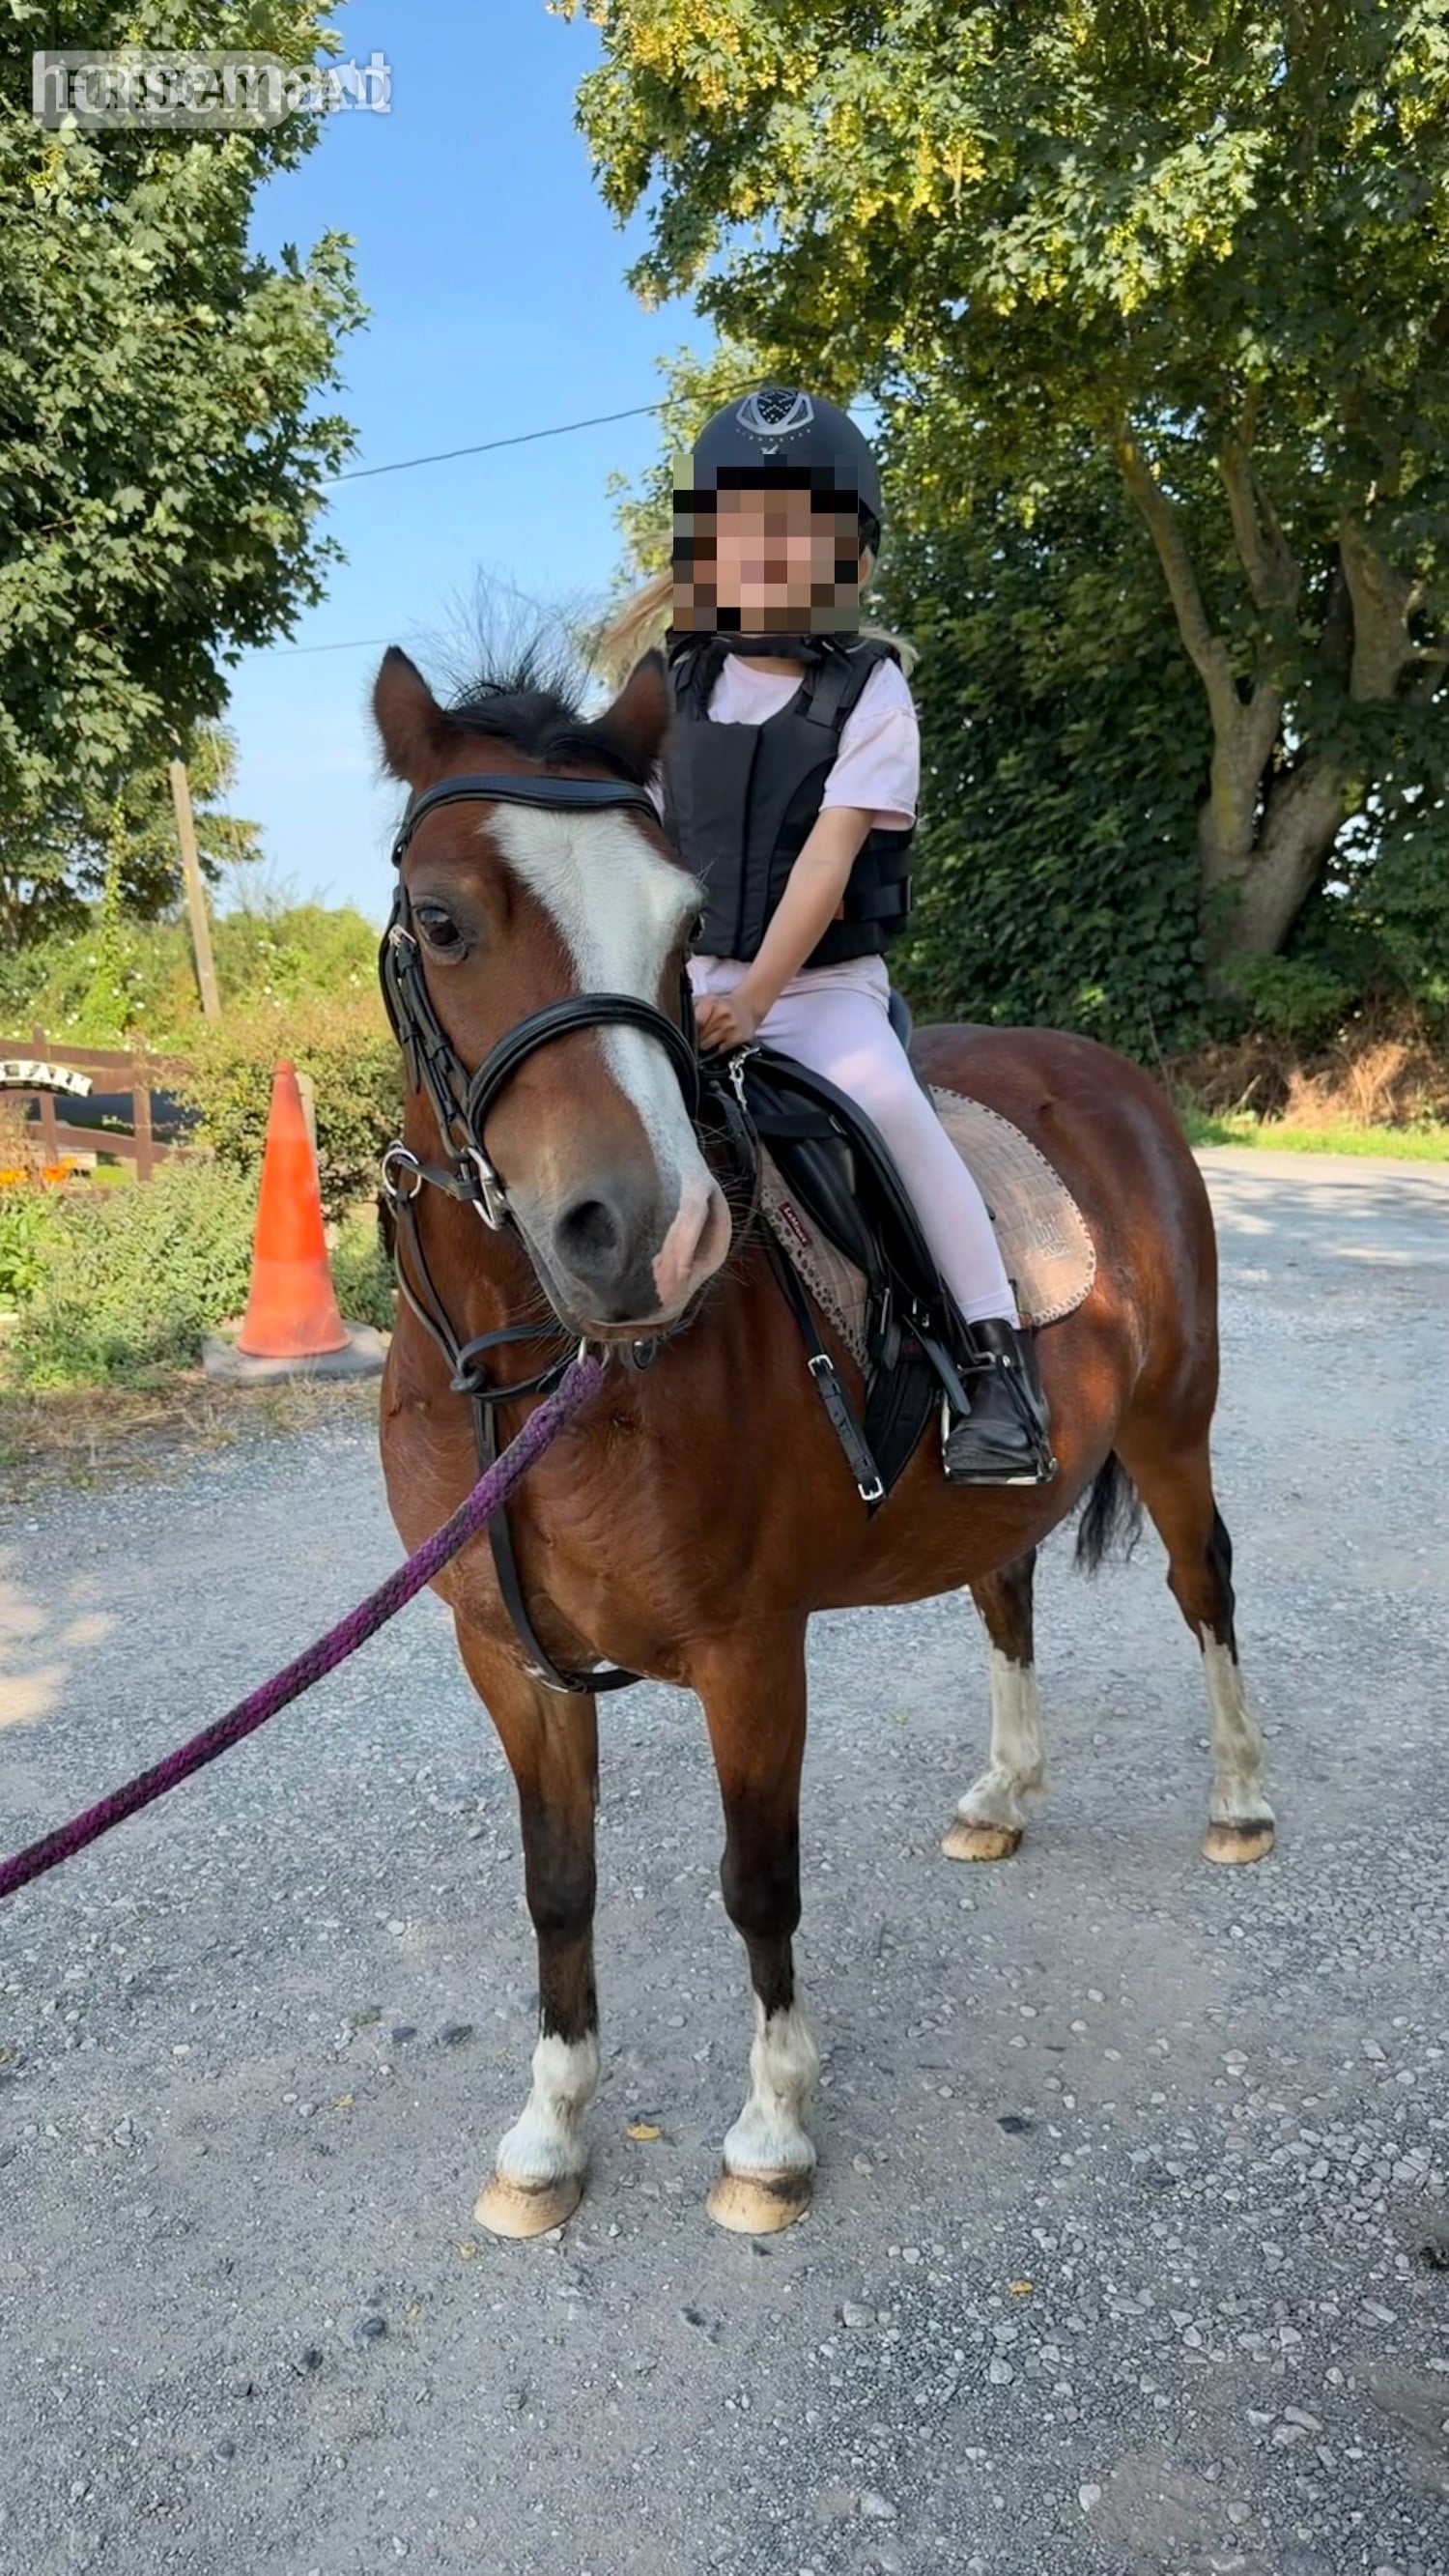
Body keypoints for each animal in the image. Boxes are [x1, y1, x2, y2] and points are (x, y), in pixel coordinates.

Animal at [371, 641, 1274, 2242]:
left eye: (679, 927)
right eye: (443, 918)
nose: (644, 1235)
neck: (528, 1371)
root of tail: (1109, 1073)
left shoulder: (750, 1650)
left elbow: (758, 1882)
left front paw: (771, 2133)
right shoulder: (507, 1660)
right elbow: (559, 1886)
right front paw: (547, 2136)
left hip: (1176, 1428)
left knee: (1204, 1586)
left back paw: (1237, 1800)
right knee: (1007, 1589)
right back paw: (1005, 1795)